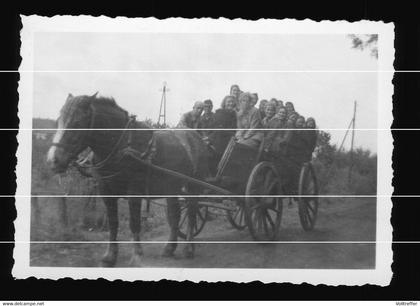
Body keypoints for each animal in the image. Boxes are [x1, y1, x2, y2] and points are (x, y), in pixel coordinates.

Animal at [47, 92, 235, 266]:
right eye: (58, 120)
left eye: (77, 123)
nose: (53, 160)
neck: (122, 145)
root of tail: (197, 138)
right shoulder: (106, 192)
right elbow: (113, 223)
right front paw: (110, 256)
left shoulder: (134, 192)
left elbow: (134, 222)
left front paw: (137, 254)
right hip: (172, 187)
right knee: (175, 215)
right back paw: (169, 248)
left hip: (193, 186)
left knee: (191, 213)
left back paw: (189, 248)